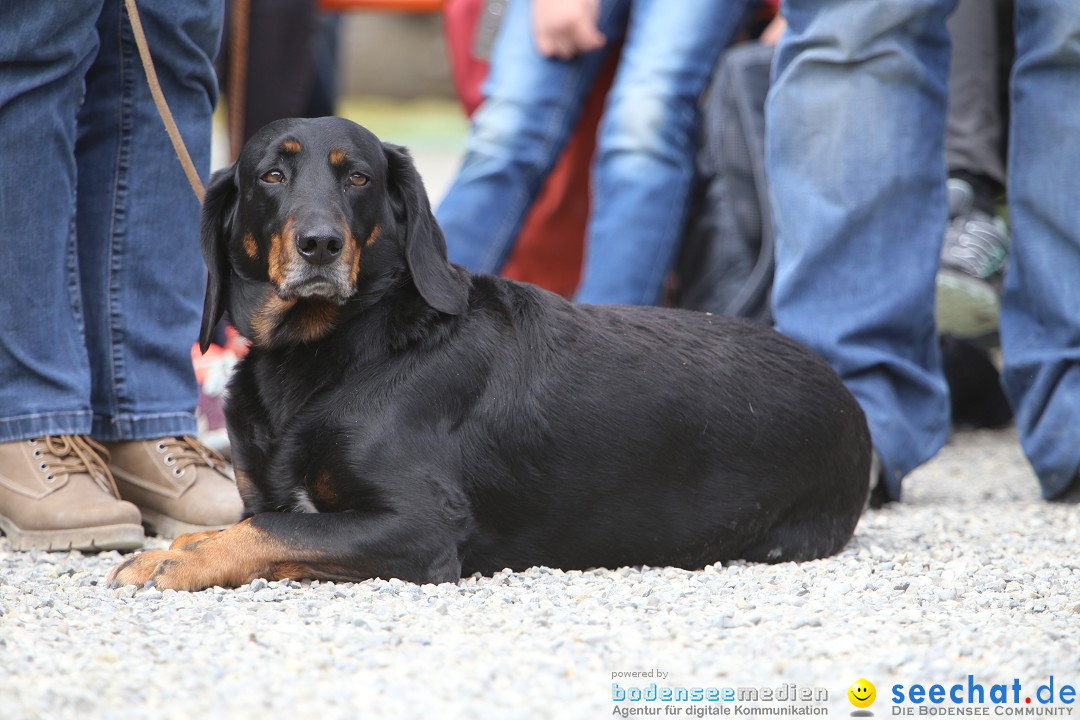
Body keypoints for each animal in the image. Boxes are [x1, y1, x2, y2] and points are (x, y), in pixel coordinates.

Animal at [109, 117, 868, 591]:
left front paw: (177, 561)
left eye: (358, 178)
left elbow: (276, 529)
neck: (334, 350)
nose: (319, 244)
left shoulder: (419, 525)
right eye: (270, 176)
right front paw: (180, 548)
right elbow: (255, 520)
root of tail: (850, 401)